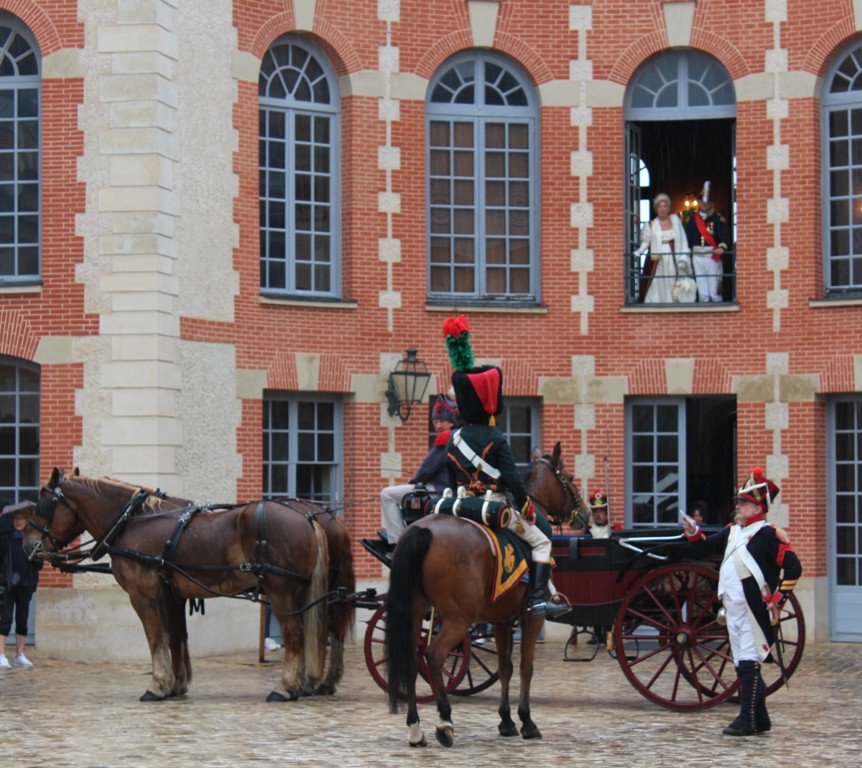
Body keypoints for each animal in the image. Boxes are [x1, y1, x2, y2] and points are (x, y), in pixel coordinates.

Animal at [26, 468, 352, 704]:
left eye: (42, 503)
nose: (28, 544)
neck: (133, 522)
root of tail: (309, 519)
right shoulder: (173, 597)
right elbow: (176, 638)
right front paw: (177, 684)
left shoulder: (144, 597)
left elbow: (155, 638)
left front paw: (157, 684)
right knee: (321, 632)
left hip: (282, 592)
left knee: (297, 636)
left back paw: (286, 687)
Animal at [384, 444, 588, 752]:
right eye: (568, 477)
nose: (585, 515)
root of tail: (423, 529)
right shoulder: (531, 618)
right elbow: (526, 667)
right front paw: (527, 721)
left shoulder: (502, 621)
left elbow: (505, 668)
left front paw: (506, 721)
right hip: (457, 620)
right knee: (434, 656)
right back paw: (444, 722)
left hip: (416, 611)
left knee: (411, 659)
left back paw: (415, 729)